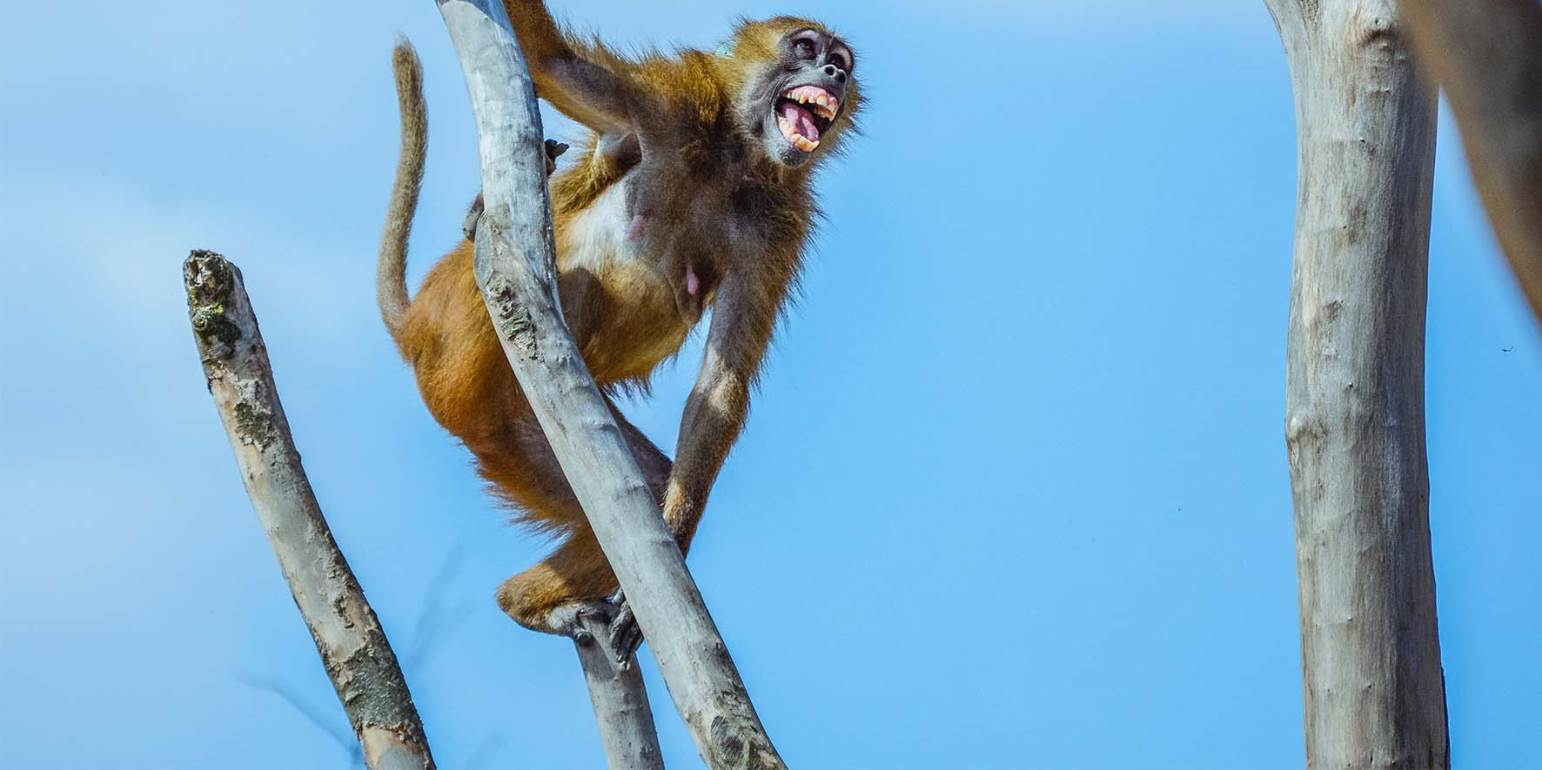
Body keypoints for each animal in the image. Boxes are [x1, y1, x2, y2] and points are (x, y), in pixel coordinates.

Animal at [373, 3, 857, 660]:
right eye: (806, 47)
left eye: (842, 63)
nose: (832, 71)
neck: (733, 159)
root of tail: (418, 327)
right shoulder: (670, 103)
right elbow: (550, 61)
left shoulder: (778, 227)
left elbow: (720, 386)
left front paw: (676, 531)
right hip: (464, 347)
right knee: (565, 282)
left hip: (505, 423)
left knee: (641, 487)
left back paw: (521, 602)